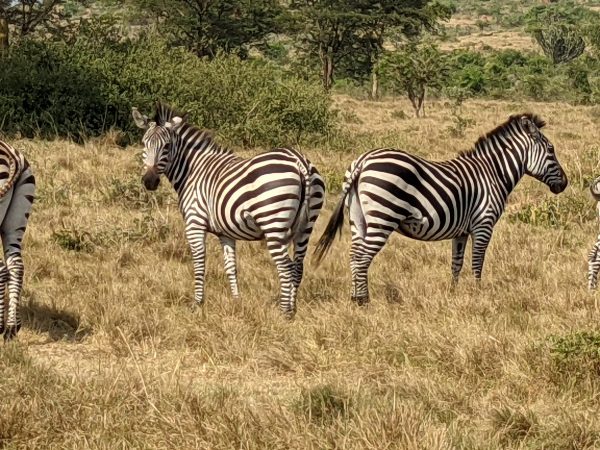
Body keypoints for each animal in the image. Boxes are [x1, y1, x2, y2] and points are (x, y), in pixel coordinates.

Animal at [132, 103, 324, 318]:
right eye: (144, 144)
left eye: (166, 146)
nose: (149, 181)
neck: (192, 170)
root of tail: (299, 160)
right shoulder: (226, 232)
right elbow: (231, 266)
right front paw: (237, 301)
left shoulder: (194, 224)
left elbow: (199, 264)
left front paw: (197, 303)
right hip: (306, 226)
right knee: (298, 267)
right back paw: (293, 310)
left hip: (273, 223)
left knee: (286, 268)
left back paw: (283, 313)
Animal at [314, 112, 568, 304]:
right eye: (551, 150)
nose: (565, 184)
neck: (494, 173)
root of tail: (363, 161)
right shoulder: (483, 224)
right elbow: (477, 262)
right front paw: (478, 294)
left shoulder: (461, 231)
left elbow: (456, 263)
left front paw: (453, 293)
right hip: (382, 216)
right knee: (362, 257)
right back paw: (364, 301)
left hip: (358, 218)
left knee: (354, 254)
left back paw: (354, 298)